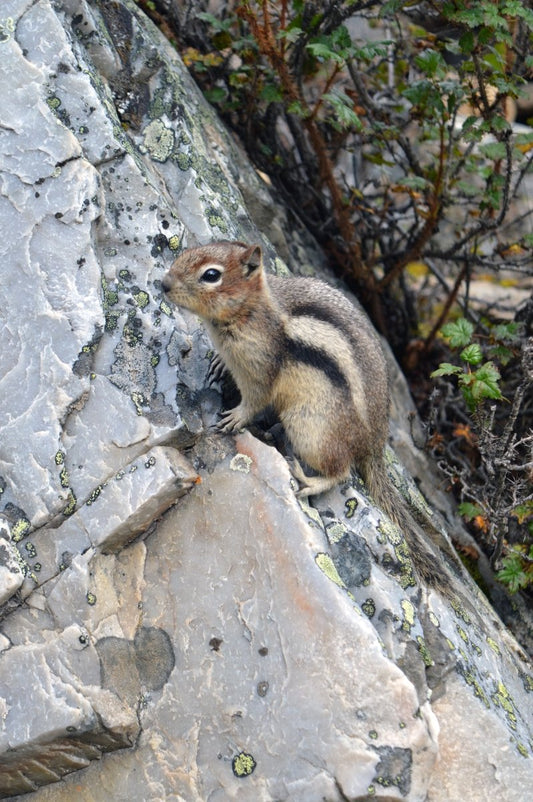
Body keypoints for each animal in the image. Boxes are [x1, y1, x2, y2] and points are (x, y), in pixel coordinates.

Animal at [160, 241, 460, 584]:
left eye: (211, 275)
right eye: (188, 253)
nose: (163, 284)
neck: (252, 309)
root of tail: (374, 442)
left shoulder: (260, 369)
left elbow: (255, 401)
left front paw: (235, 417)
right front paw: (219, 363)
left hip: (310, 429)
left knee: (341, 471)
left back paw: (309, 480)